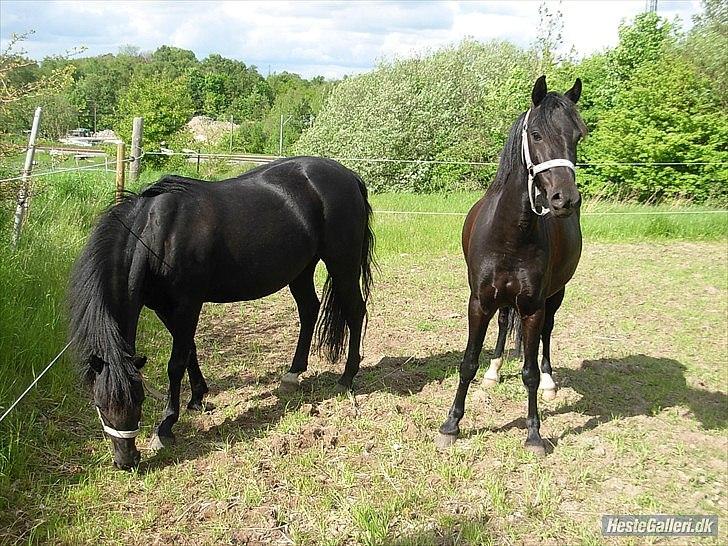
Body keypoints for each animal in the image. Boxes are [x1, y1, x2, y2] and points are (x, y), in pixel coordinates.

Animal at [69, 155, 376, 466]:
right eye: (99, 404)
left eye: (140, 399)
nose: (126, 461)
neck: (158, 233)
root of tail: (348, 175)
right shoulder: (163, 308)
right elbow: (189, 351)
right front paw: (197, 399)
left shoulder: (188, 304)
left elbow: (176, 363)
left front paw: (165, 427)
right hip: (301, 269)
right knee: (309, 310)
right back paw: (292, 375)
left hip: (342, 264)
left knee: (355, 311)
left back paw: (346, 378)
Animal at [438, 74, 584, 452]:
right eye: (536, 134)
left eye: (578, 135)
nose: (565, 199)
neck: (510, 235)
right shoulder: (479, 301)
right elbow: (468, 362)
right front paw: (451, 425)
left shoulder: (533, 306)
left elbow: (529, 371)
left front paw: (534, 433)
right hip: (503, 301)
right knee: (504, 324)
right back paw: (494, 370)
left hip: (555, 296)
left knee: (547, 335)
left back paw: (549, 382)